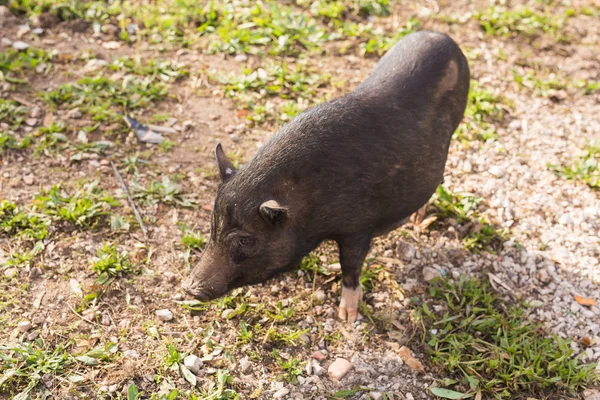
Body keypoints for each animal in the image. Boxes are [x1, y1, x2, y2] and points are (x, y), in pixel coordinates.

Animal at [182, 32, 468, 324]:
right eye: (213, 227)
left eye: (245, 240)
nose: (189, 287)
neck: (306, 199)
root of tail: (441, 36)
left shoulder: (358, 225)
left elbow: (351, 265)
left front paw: (347, 317)